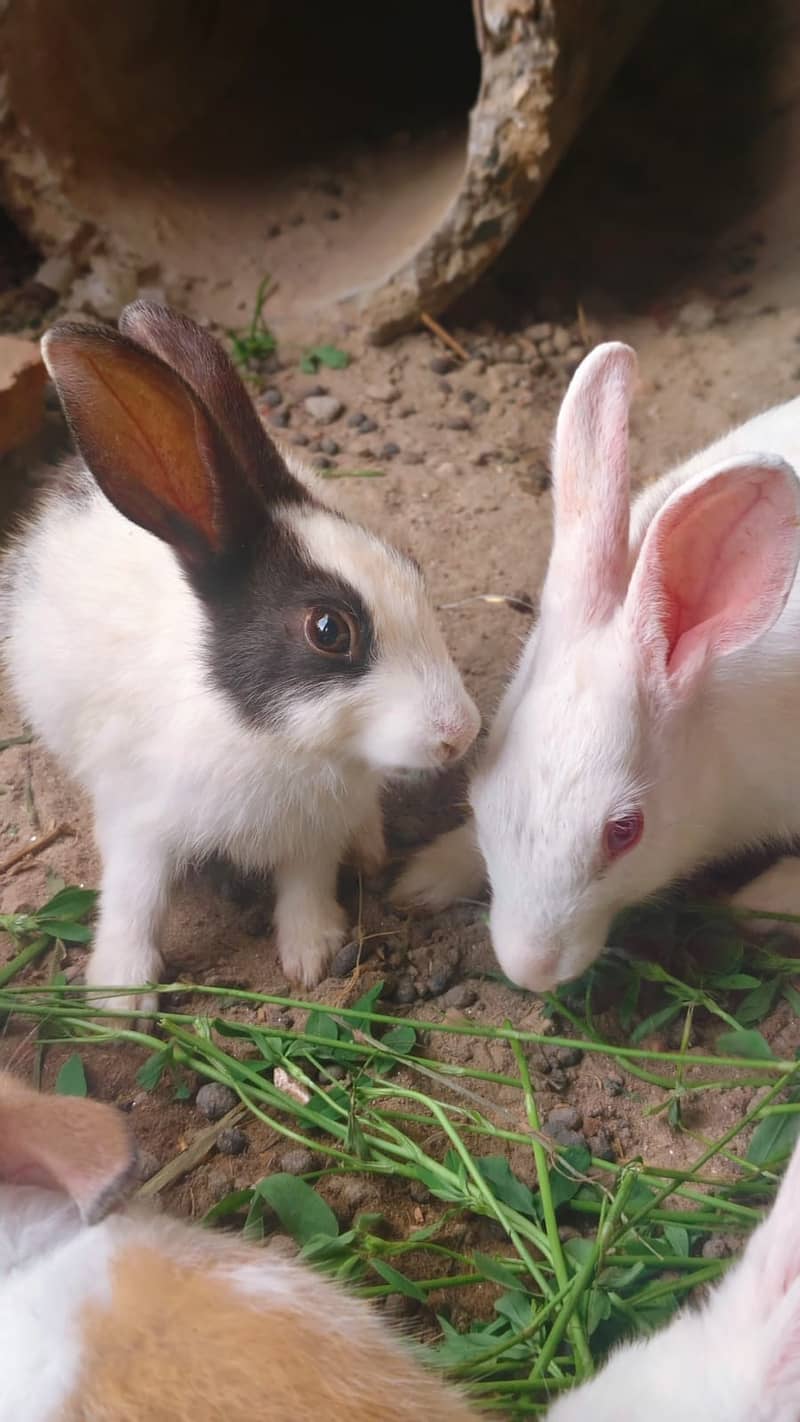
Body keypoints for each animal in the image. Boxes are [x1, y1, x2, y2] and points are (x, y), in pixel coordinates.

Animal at [1, 303, 480, 1014]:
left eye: (412, 570)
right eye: (329, 630)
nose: (460, 733)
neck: (271, 736)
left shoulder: (312, 833)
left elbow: (306, 884)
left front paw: (311, 955)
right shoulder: (139, 820)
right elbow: (135, 901)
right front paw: (122, 998)